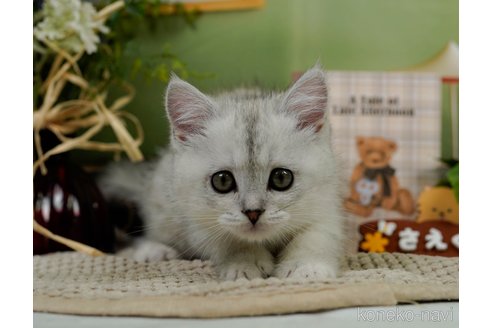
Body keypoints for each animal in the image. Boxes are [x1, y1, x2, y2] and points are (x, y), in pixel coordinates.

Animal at [98, 66, 344, 280]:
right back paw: (153, 251)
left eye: (281, 178)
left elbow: (316, 236)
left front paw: (306, 267)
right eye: (222, 181)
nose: (253, 213)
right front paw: (245, 263)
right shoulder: (197, 220)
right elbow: (228, 238)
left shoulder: (328, 206)